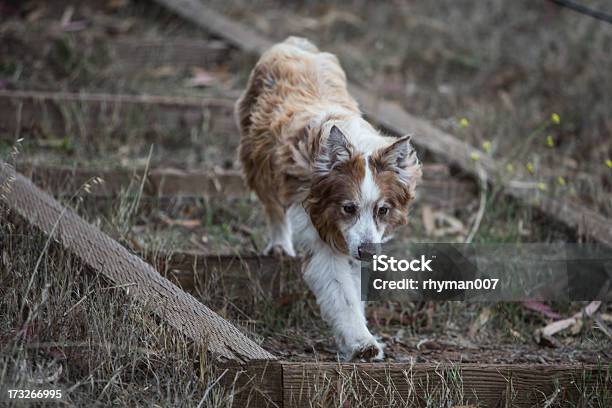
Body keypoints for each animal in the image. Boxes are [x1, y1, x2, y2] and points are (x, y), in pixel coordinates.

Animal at [234, 36, 420, 358]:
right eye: (348, 207)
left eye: (383, 210)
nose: (368, 252)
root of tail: (294, 43)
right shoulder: (320, 236)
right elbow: (340, 292)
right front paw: (362, 343)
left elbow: (354, 287)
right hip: (257, 158)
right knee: (273, 205)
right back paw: (280, 245)